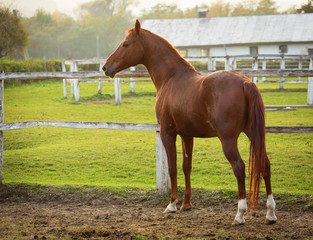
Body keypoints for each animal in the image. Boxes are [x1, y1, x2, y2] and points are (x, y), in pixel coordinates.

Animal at [102, 20, 276, 225]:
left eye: (126, 44)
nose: (105, 67)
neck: (171, 77)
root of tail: (245, 82)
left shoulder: (167, 133)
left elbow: (172, 167)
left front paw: (172, 204)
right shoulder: (187, 135)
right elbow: (187, 167)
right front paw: (186, 203)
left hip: (228, 139)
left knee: (239, 167)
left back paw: (240, 214)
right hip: (253, 134)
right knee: (265, 164)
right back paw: (270, 213)